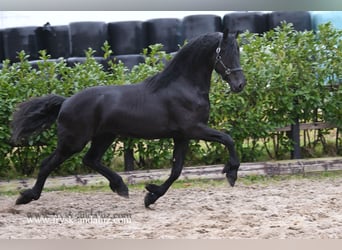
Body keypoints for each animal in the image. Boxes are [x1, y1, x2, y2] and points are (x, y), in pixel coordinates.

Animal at [10, 29, 246, 207]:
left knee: (90, 160)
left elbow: (176, 170)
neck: (183, 86)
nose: (240, 85)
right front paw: (231, 173)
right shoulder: (194, 129)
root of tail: (66, 102)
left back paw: (120, 187)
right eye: (224, 52)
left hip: (104, 136)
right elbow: (228, 139)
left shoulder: (182, 136)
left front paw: (151, 195)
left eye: (238, 51)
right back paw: (26, 197)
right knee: (47, 164)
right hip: (73, 142)